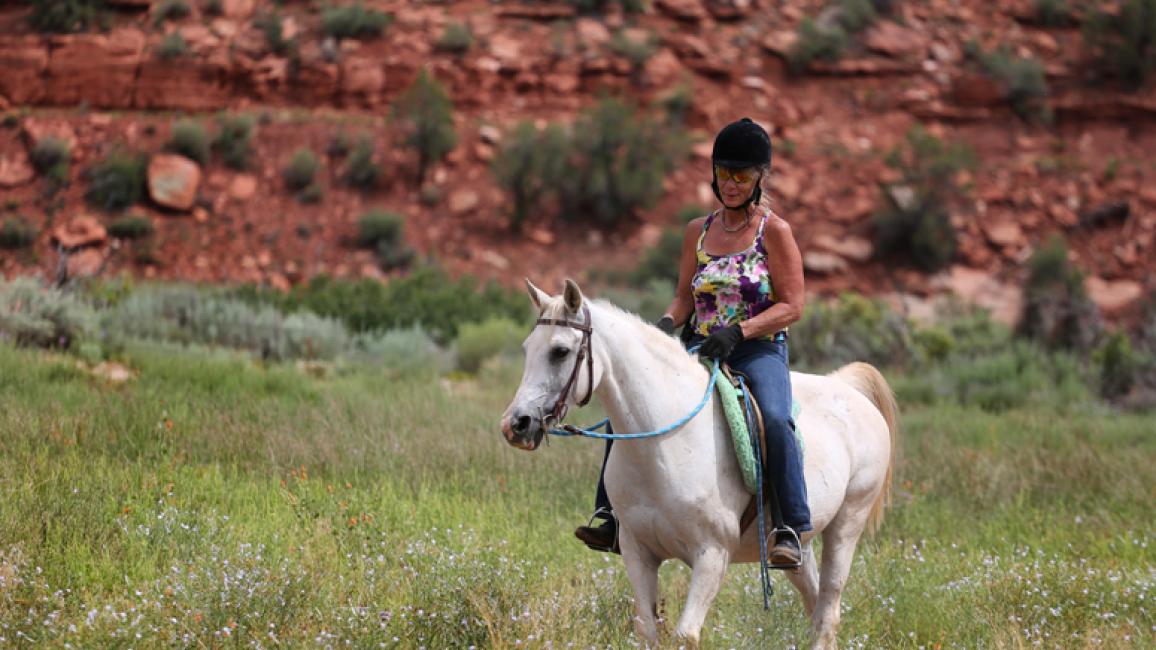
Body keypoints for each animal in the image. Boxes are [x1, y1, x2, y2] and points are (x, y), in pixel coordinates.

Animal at [500, 279, 898, 650]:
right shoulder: (637, 551)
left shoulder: (711, 556)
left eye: (560, 351)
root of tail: (848, 388)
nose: (516, 424)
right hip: (799, 548)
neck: (664, 445)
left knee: (828, 610)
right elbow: (648, 630)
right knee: (815, 606)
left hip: (847, 526)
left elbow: (685, 635)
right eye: (527, 348)